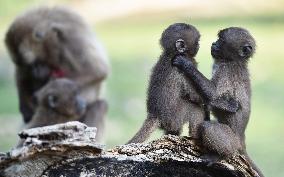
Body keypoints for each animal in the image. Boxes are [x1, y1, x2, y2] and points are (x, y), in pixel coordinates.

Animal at [172, 27, 262, 176]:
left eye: (222, 40)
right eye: (218, 38)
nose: (214, 43)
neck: (234, 61)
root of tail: (241, 140)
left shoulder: (227, 71)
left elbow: (215, 97)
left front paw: (186, 64)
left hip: (232, 140)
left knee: (208, 127)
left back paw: (222, 155)